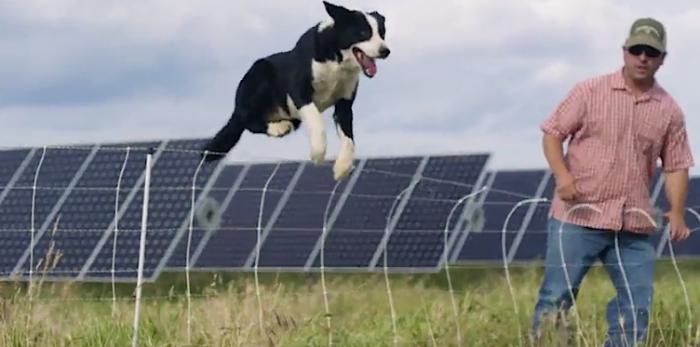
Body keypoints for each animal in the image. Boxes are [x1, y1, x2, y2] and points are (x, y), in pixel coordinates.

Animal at [201, 2, 388, 182]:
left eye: (382, 33)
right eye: (363, 32)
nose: (385, 51)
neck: (337, 60)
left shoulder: (345, 103)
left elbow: (349, 139)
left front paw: (342, 167)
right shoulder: (299, 91)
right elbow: (317, 121)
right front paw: (318, 154)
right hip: (260, 73)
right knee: (246, 120)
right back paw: (278, 127)